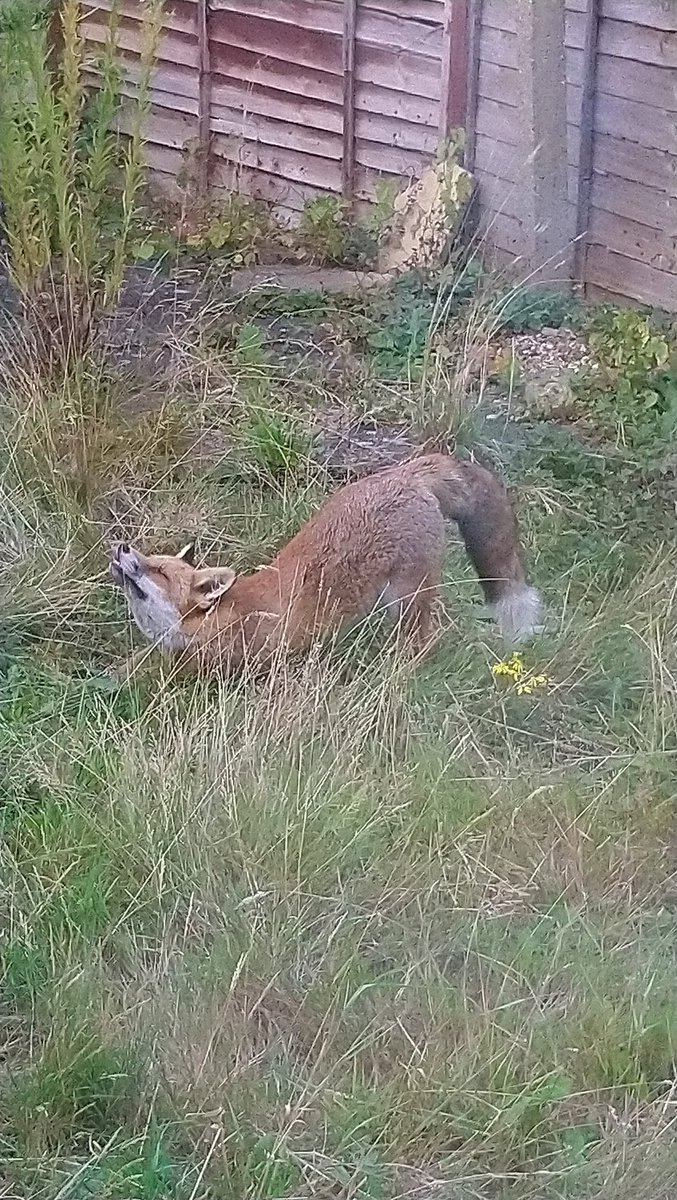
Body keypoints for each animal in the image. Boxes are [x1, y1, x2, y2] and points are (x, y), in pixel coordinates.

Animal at [109, 452, 541, 675]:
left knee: (425, 638)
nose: (122, 548)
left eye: (159, 571)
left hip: (407, 598)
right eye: (151, 559)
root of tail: (408, 471)